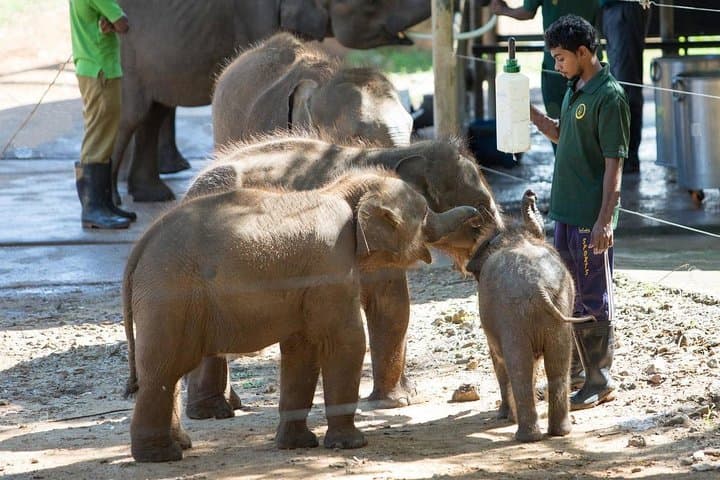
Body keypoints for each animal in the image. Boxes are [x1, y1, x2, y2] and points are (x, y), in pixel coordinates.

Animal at [123, 167, 482, 462]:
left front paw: (296, 445)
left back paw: (179, 446)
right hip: (171, 296)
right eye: (425, 214)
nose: (478, 220)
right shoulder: (331, 262)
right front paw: (351, 444)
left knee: (165, 372)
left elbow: (302, 349)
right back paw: (161, 456)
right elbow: (346, 341)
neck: (343, 190)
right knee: (162, 369)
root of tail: (141, 245)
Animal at [182, 135, 502, 420]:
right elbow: (391, 304)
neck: (393, 152)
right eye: (480, 210)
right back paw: (212, 411)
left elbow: (391, 306)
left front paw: (409, 395)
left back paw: (231, 405)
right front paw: (395, 403)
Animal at [465, 190, 594, 442]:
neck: (516, 236)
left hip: (512, 316)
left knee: (519, 367)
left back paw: (525, 435)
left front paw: (503, 416)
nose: (530, 194)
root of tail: (537, 285)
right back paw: (558, 432)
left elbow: (498, 360)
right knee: (557, 366)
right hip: (558, 309)